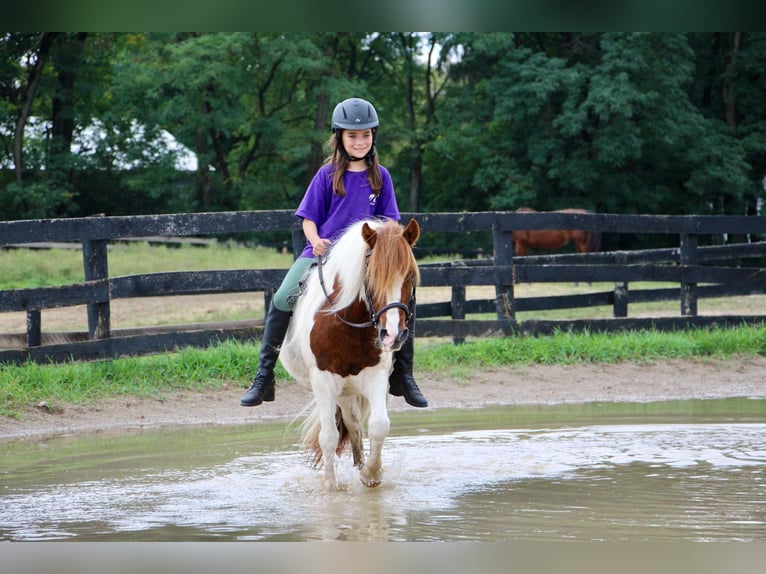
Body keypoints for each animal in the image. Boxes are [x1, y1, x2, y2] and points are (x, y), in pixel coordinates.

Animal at [280, 218, 420, 492]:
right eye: (371, 275)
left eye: (410, 275)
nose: (393, 335)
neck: (348, 324)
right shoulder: (323, 381)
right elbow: (328, 437)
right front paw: (331, 487)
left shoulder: (376, 376)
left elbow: (379, 426)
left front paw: (371, 474)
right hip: (340, 390)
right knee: (348, 424)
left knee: (355, 425)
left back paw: (360, 465)